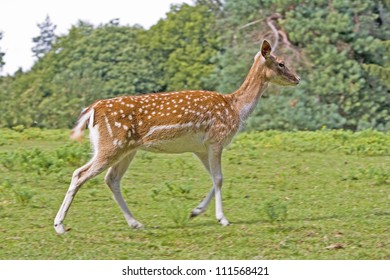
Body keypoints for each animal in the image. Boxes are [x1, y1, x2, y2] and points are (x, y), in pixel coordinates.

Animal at [53, 40, 300, 234]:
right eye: (281, 63)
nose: (297, 78)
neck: (236, 109)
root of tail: (92, 109)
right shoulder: (217, 139)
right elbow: (219, 178)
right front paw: (222, 218)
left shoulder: (201, 147)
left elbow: (215, 178)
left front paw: (195, 211)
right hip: (111, 144)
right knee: (79, 173)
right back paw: (60, 226)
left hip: (126, 149)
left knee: (111, 179)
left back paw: (135, 223)